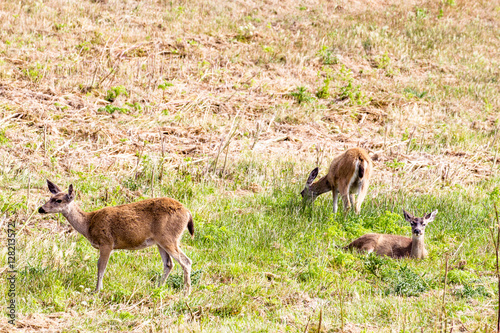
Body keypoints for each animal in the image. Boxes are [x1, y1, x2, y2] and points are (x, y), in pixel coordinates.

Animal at [38, 179, 194, 294]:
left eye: (58, 200)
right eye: (50, 197)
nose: (41, 209)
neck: (88, 224)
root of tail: (187, 212)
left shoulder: (106, 242)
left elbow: (101, 266)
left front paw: (97, 290)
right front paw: (98, 289)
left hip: (169, 238)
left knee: (186, 261)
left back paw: (186, 292)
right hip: (159, 242)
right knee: (169, 264)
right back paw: (158, 287)